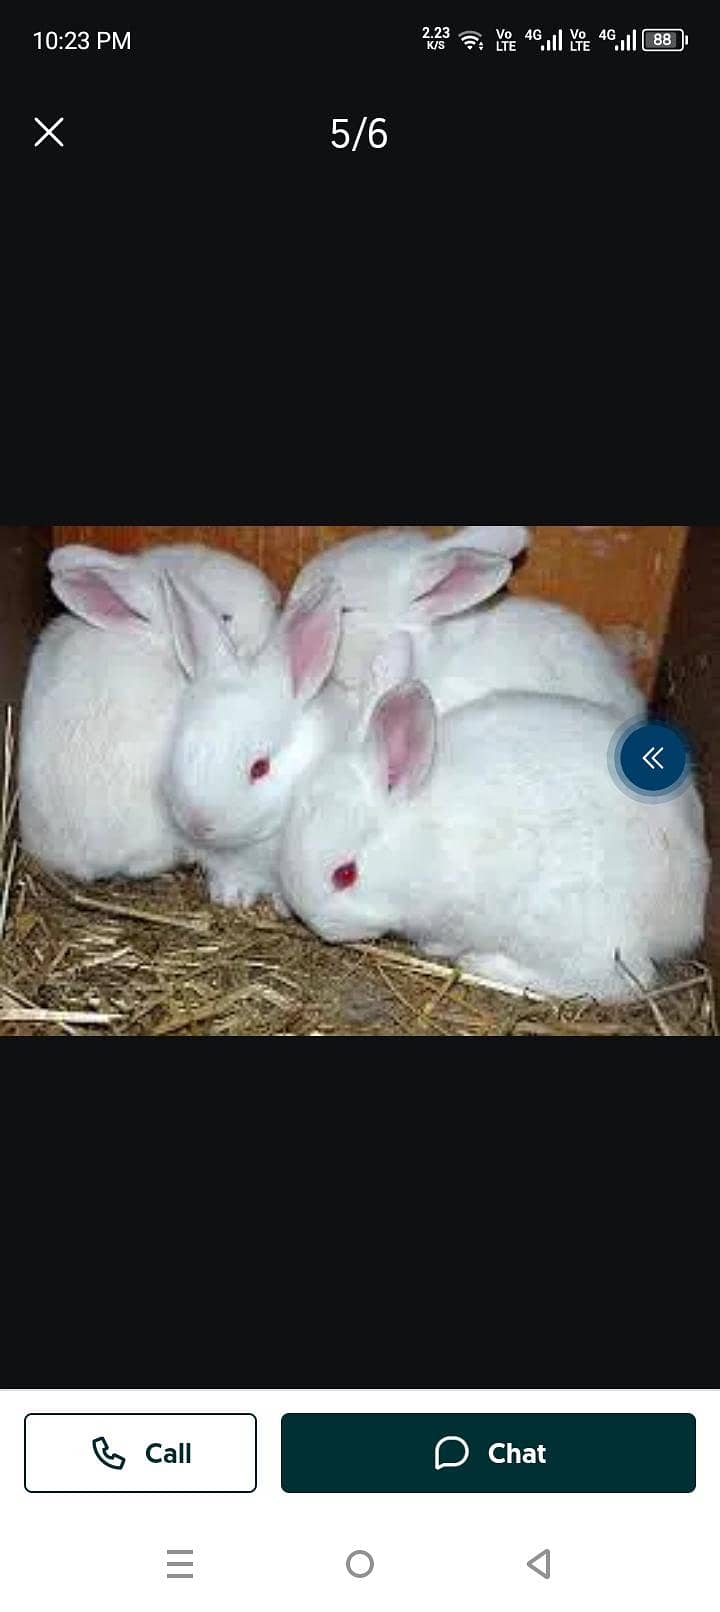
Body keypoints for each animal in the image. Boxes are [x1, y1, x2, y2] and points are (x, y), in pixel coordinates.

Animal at [277, 663, 710, 1003]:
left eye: (345, 874)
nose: (307, 918)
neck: (425, 841)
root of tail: (687, 912)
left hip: (571, 927)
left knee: (622, 980)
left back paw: (485, 964)